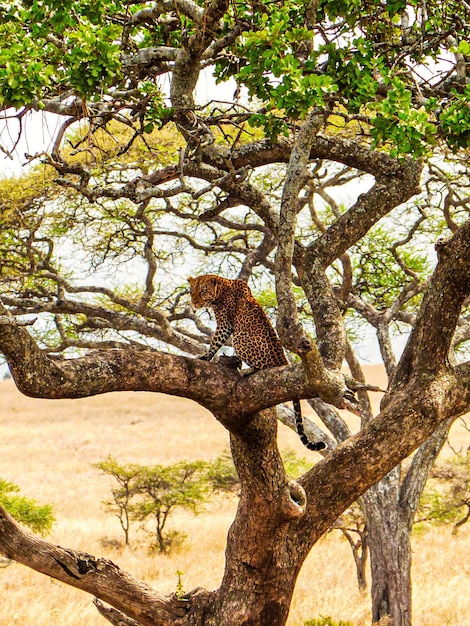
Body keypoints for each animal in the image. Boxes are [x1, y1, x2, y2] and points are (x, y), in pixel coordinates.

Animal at [188, 272, 326, 448]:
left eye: (203, 291)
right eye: (191, 291)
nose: (194, 302)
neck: (222, 288)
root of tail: (283, 361)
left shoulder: (225, 324)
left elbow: (216, 341)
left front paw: (206, 356)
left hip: (239, 339)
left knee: (262, 367)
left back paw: (246, 370)